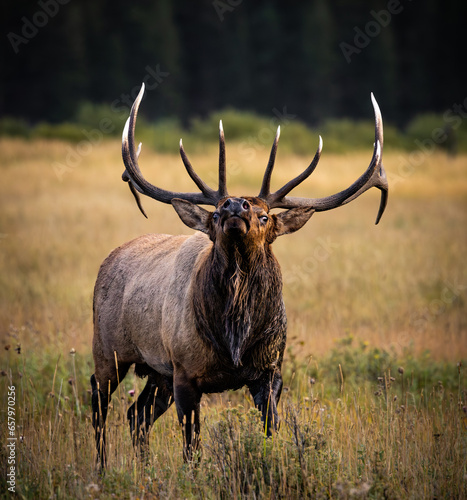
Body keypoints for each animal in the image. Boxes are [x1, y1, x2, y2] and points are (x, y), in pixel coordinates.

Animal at [90, 85, 388, 464]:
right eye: (216, 213)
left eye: (264, 216)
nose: (234, 205)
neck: (234, 337)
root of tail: (109, 259)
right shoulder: (185, 371)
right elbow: (191, 447)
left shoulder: (270, 370)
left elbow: (270, 431)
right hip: (108, 349)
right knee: (99, 403)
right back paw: (101, 467)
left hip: (156, 371)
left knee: (136, 414)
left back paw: (142, 468)